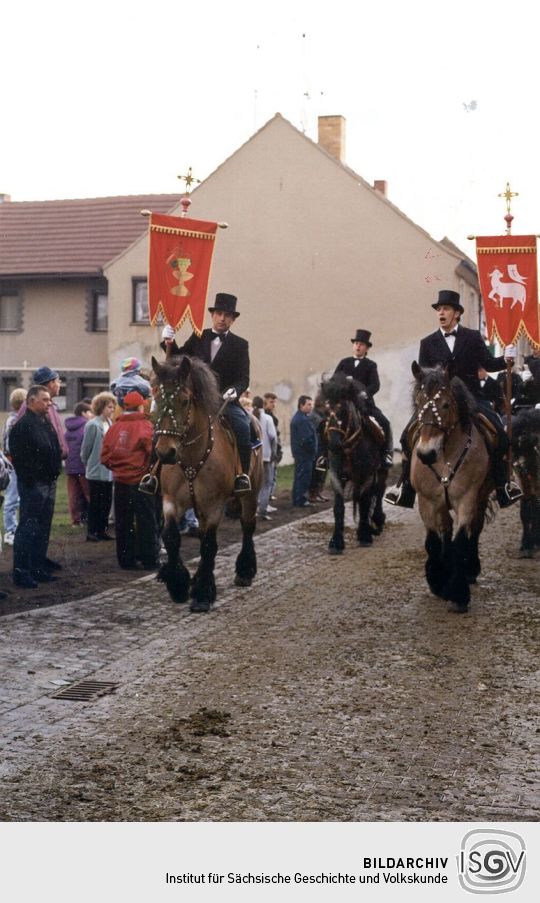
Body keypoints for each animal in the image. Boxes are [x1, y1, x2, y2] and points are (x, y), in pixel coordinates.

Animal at [151, 354, 262, 616]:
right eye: (156, 398)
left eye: (184, 401)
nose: (165, 452)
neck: (192, 456)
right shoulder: (171, 501)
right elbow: (171, 536)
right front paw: (179, 585)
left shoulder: (214, 505)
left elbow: (210, 545)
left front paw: (202, 595)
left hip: (250, 494)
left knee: (247, 526)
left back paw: (245, 571)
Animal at [320, 372, 388, 556]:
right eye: (325, 411)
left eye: (343, 410)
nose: (334, 445)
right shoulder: (336, 476)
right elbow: (338, 507)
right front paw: (336, 542)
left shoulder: (367, 475)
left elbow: (365, 502)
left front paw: (364, 535)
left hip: (381, 471)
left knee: (379, 492)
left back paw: (377, 520)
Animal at [410, 362, 494, 616]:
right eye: (418, 402)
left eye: (446, 405)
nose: (426, 454)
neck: (444, 455)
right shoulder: (427, 502)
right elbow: (433, 540)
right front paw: (438, 582)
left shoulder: (467, 499)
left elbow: (460, 541)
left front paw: (458, 594)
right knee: (445, 530)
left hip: (481, 497)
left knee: (475, 529)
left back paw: (470, 570)